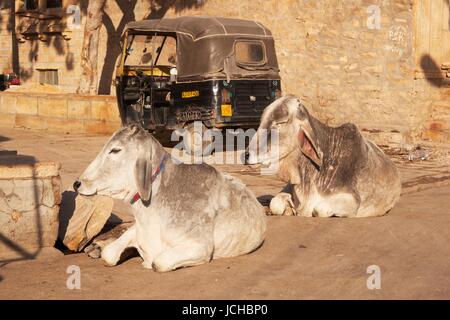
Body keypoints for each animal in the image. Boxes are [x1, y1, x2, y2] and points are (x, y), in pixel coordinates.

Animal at [246, 95, 400, 218]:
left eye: (280, 123)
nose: (246, 155)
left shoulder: (352, 199)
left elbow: (319, 209)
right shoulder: (290, 186)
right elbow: (275, 203)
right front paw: (290, 209)